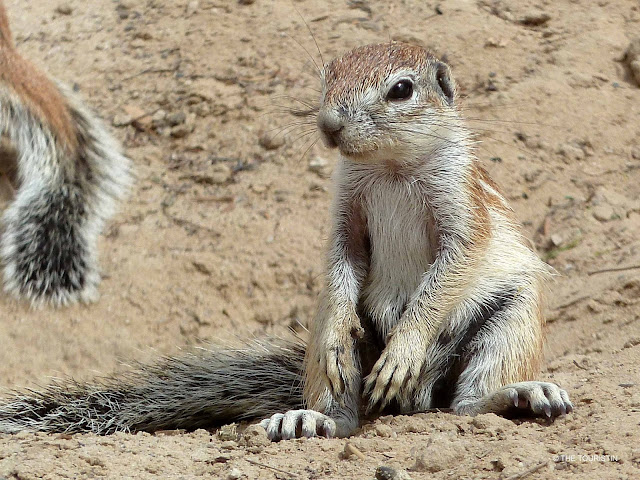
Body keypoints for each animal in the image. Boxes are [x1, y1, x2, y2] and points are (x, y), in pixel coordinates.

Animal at [0, 43, 572, 436]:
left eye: (401, 90)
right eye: (329, 75)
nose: (329, 124)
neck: (389, 168)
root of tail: (417, 398)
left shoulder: (462, 212)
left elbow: (450, 270)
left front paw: (404, 348)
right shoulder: (345, 214)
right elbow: (343, 259)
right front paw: (342, 328)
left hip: (511, 318)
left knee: (466, 403)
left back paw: (516, 396)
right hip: (328, 354)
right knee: (345, 407)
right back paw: (311, 420)